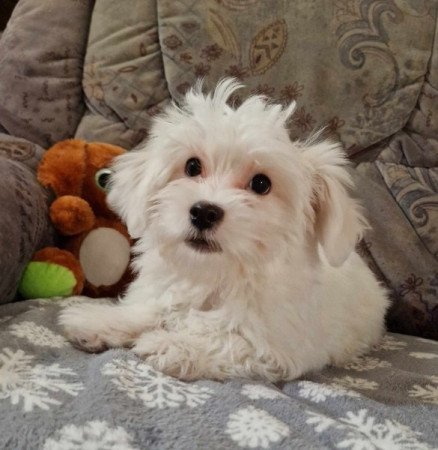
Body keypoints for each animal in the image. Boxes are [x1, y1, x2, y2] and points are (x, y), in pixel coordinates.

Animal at [60, 79, 388, 382]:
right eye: (192, 166)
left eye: (261, 184)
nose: (204, 212)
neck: (215, 276)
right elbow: (148, 310)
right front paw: (98, 319)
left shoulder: (280, 346)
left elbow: (230, 343)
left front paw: (174, 345)